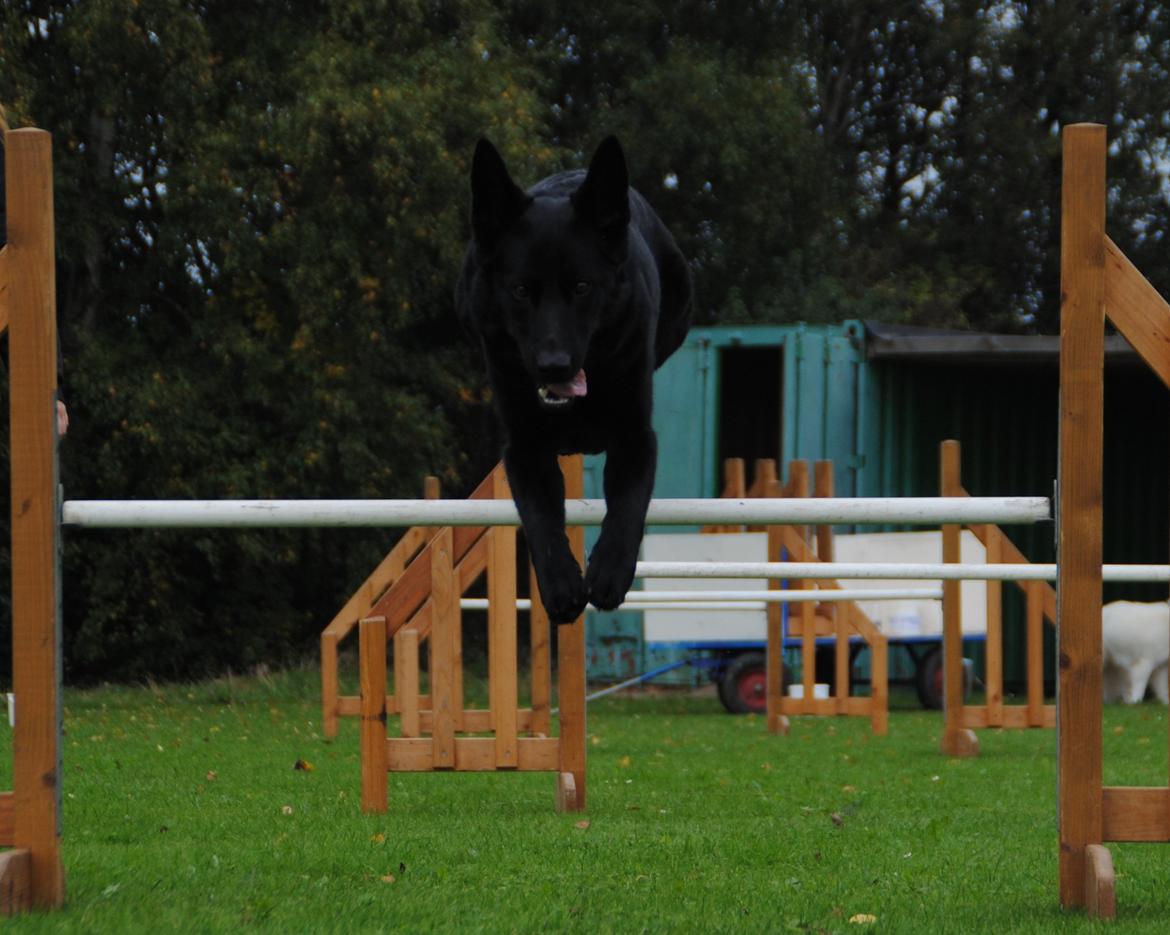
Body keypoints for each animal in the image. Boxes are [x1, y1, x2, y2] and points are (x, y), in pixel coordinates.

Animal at [453, 139, 692, 622]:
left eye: (582, 287)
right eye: (520, 290)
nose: (554, 365)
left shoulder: (635, 435)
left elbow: (628, 504)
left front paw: (608, 574)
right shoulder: (525, 447)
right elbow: (540, 518)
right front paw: (562, 585)